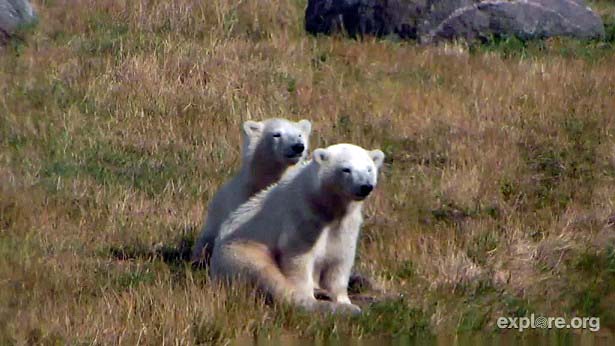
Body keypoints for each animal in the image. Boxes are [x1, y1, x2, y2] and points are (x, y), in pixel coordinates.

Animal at [212, 143, 384, 314]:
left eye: (369, 169)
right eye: (346, 169)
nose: (365, 186)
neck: (325, 205)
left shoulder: (346, 224)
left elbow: (339, 259)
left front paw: (343, 300)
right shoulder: (303, 215)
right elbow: (298, 258)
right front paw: (311, 297)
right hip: (240, 250)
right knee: (265, 272)